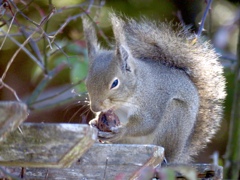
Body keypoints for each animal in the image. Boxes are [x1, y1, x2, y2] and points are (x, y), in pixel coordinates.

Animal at [81, 13, 226, 163]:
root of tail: (178, 155)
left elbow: (147, 123)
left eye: (115, 83)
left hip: (174, 117)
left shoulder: (151, 102)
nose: (95, 108)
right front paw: (93, 122)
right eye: (86, 82)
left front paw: (121, 131)